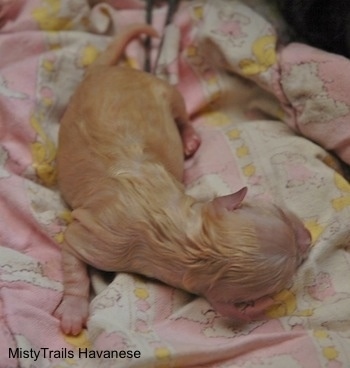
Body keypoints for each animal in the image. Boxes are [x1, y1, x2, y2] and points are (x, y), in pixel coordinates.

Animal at [54, 23, 312, 336]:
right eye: (278, 212)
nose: (309, 237)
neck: (187, 239)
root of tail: (101, 70)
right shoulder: (104, 238)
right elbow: (73, 248)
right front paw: (73, 310)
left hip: (165, 91)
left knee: (182, 114)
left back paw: (188, 139)